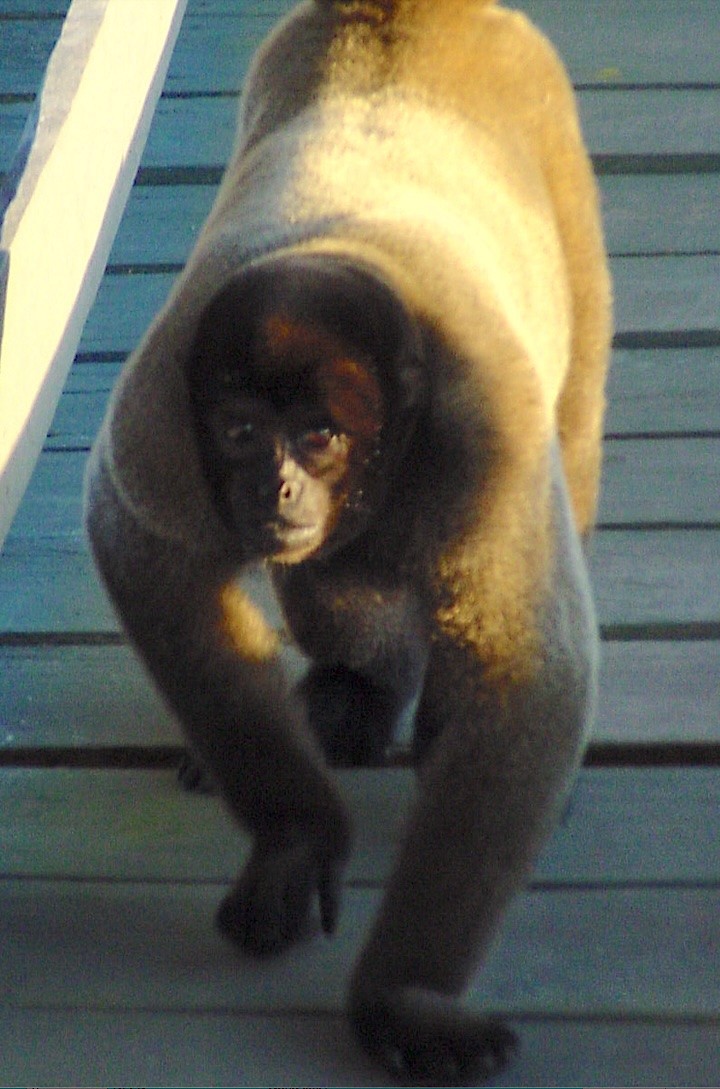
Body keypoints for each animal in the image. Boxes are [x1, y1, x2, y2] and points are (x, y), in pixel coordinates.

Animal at [84, 0, 612, 1083]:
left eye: (321, 436)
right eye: (241, 431)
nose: (277, 485)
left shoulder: (486, 434)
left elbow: (527, 673)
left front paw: (400, 998)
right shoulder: (163, 413)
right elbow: (150, 558)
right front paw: (295, 837)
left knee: (572, 438)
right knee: (337, 571)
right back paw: (353, 691)